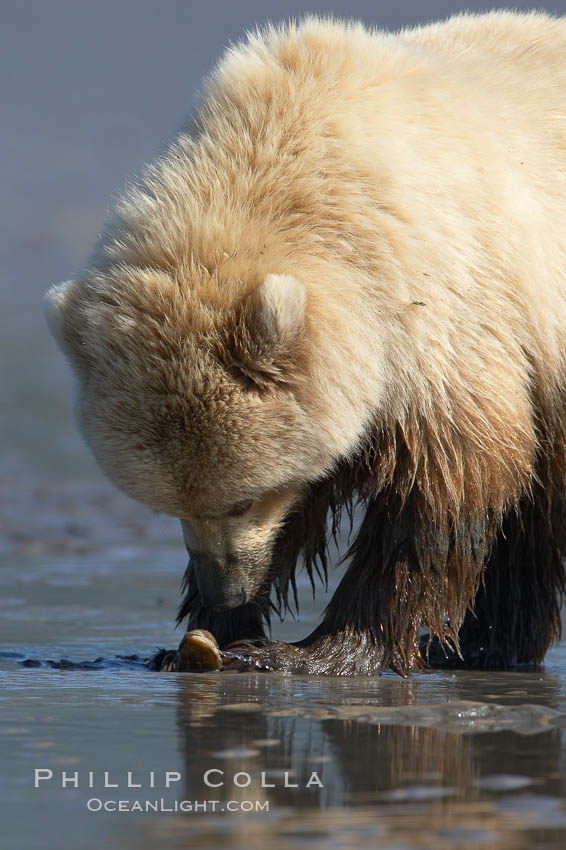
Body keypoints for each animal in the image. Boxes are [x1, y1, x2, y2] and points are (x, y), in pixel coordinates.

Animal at [44, 9, 566, 672]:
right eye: (170, 506)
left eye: (243, 499)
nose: (222, 585)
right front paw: (203, 637)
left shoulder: (449, 309)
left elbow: (440, 493)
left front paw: (314, 650)